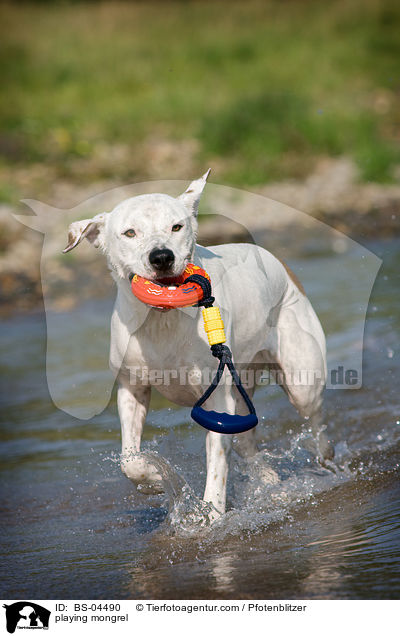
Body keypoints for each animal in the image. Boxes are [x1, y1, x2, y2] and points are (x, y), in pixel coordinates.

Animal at [65, 171, 328, 520]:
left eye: (176, 227)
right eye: (130, 232)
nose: (162, 256)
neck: (161, 321)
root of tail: (279, 263)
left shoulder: (216, 397)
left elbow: (216, 465)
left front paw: (210, 517)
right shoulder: (131, 387)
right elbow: (130, 460)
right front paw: (157, 477)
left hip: (299, 378)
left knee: (315, 420)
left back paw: (326, 463)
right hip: (241, 386)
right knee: (248, 442)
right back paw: (270, 481)